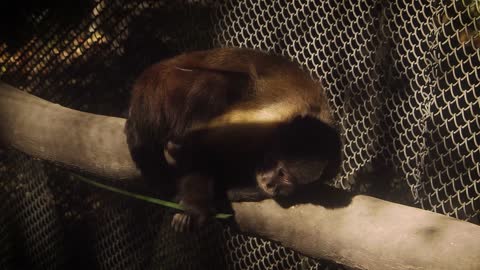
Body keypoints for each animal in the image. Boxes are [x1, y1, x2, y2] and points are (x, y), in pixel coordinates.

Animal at [124, 47, 342, 231]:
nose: (270, 184)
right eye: (280, 171)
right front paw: (195, 207)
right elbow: (196, 142)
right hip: (170, 86)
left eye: (287, 179)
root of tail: (151, 75)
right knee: (221, 83)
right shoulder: (266, 120)